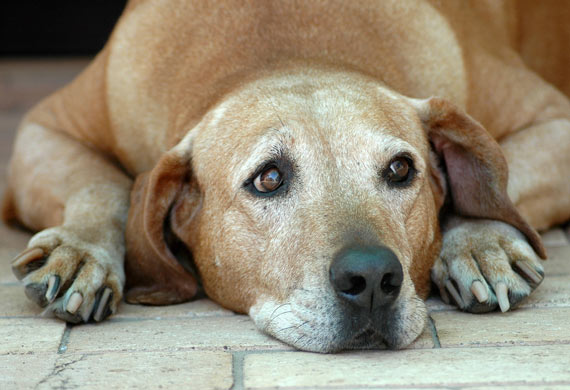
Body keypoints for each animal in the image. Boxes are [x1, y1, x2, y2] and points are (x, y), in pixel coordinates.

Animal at [2, 0, 564, 354]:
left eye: (401, 169)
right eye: (268, 179)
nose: (372, 279)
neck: (282, 47)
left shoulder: (553, 119)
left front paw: (479, 241)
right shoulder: (45, 127)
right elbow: (102, 184)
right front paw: (81, 251)